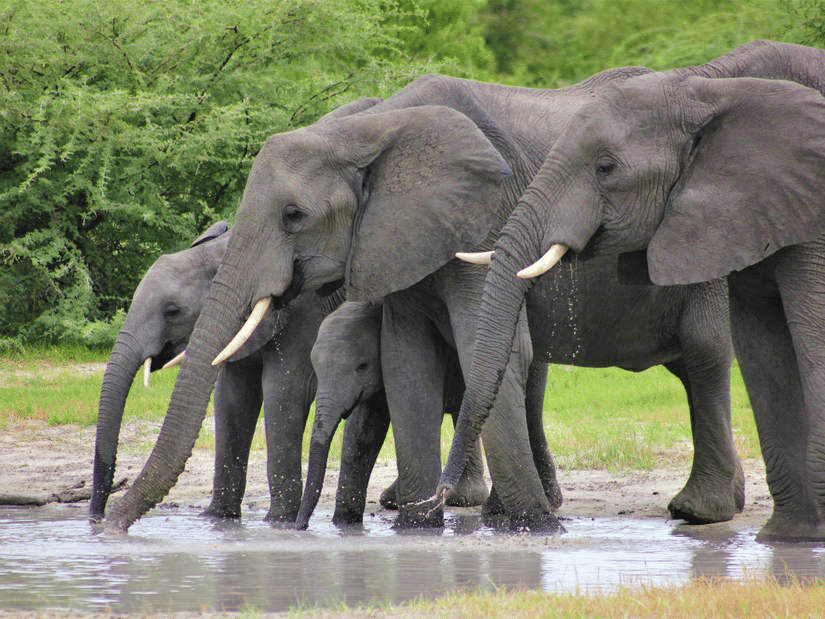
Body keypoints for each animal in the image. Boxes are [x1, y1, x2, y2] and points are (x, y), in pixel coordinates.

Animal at [105, 65, 693, 533]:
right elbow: (398, 362)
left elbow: (289, 391)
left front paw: (531, 529)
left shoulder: (481, 215)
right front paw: (415, 526)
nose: (105, 522)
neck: (370, 130)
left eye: (294, 216)